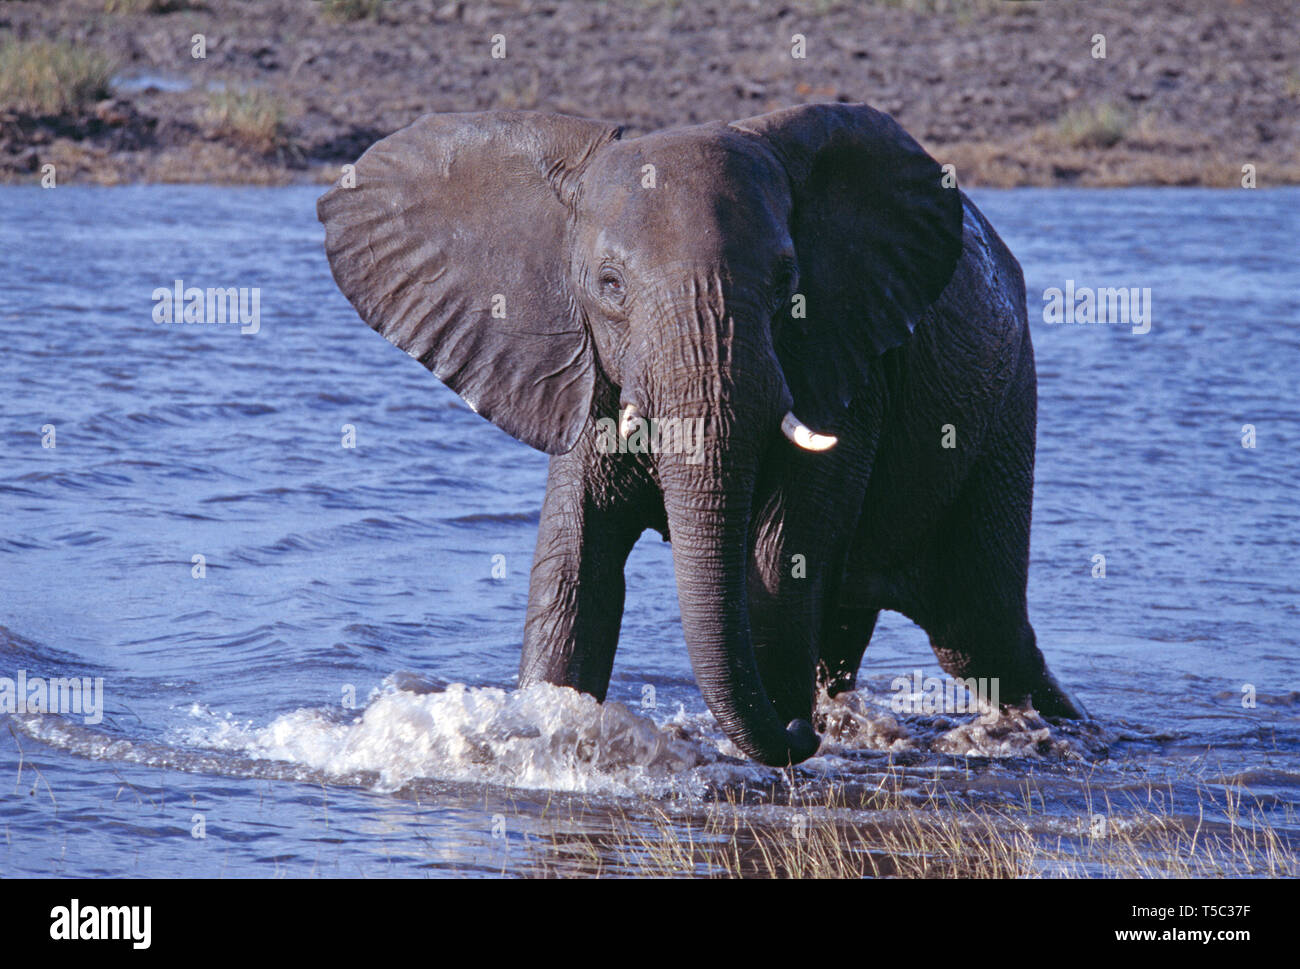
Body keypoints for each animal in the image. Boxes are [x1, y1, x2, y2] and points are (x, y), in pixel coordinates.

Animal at [317, 102, 1086, 764]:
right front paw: (548, 727)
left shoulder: (843, 362)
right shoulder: (590, 371)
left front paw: (783, 734)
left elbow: (778, 563)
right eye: (609, 284)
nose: (799, 732)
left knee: (977, 633)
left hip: (1006, 404)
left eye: (786, 281)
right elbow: (575, 571)